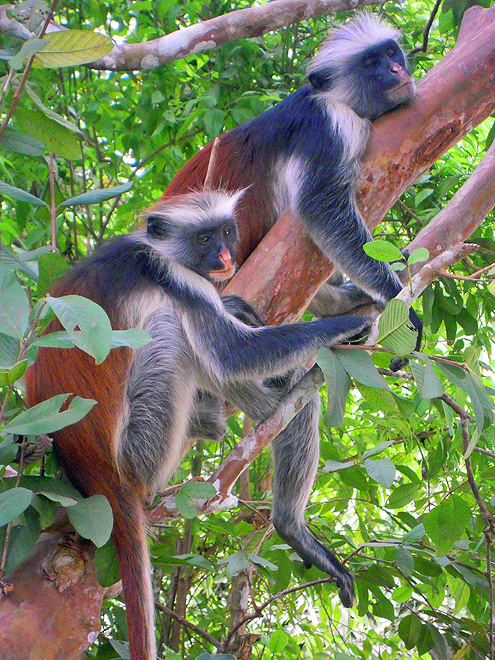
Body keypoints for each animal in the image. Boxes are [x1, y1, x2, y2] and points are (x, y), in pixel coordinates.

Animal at [25, 189, 370, 660]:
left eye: (225, 231)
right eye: (204, 238)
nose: (225, 256)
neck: (152, 251)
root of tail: (98, 475)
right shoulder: (180, 278)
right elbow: (232, 355)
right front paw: (349, 322)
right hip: (143, 447)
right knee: (175, 333)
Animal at [164, 13, 422, 342]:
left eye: (391, 53)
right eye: (370, 63)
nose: (396, 69)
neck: (329, 97)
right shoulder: (330, 123)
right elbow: (320, 206)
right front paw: (394, 297)